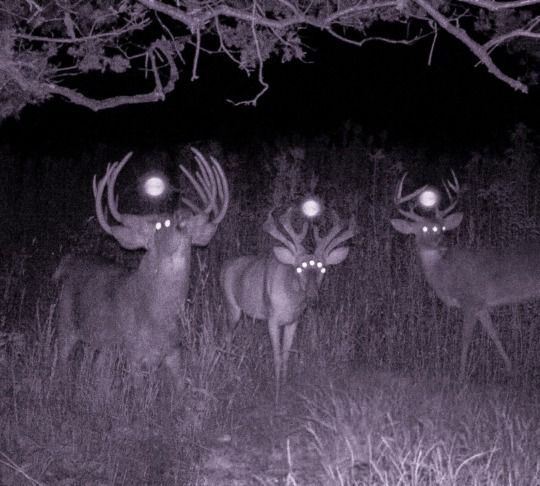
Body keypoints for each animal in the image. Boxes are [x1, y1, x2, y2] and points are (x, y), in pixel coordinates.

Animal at [54, 147, 230, 388]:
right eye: (160, 224)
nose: (183, 214)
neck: (156, 316)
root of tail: (68, 262)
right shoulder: (134, 356)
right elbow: (138, 394)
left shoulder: (174, 352)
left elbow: (181, 389)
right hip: (66, 324)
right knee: (61, 361)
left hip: (105, 346)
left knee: (99, 371)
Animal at [219, 209, 354, 402]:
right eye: (298, 268)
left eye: (323, 269)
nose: (313, 298)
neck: (291, 302)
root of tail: (223, 266)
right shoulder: (273, 319)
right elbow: (276, 356)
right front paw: (276, 392)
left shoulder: (293, 321)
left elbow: (286, 355)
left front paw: (284, 386)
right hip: (232, 306)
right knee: (227, 336)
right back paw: (229, 371)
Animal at [392, 173, 540, 382]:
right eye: (424, 229)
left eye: (441, 228)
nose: (442, 243)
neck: (446, 275)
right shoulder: (481, 305)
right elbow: (494, 334)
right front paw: (511, 369)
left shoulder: (470, 299)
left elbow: (465, 339)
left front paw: (461, 375)